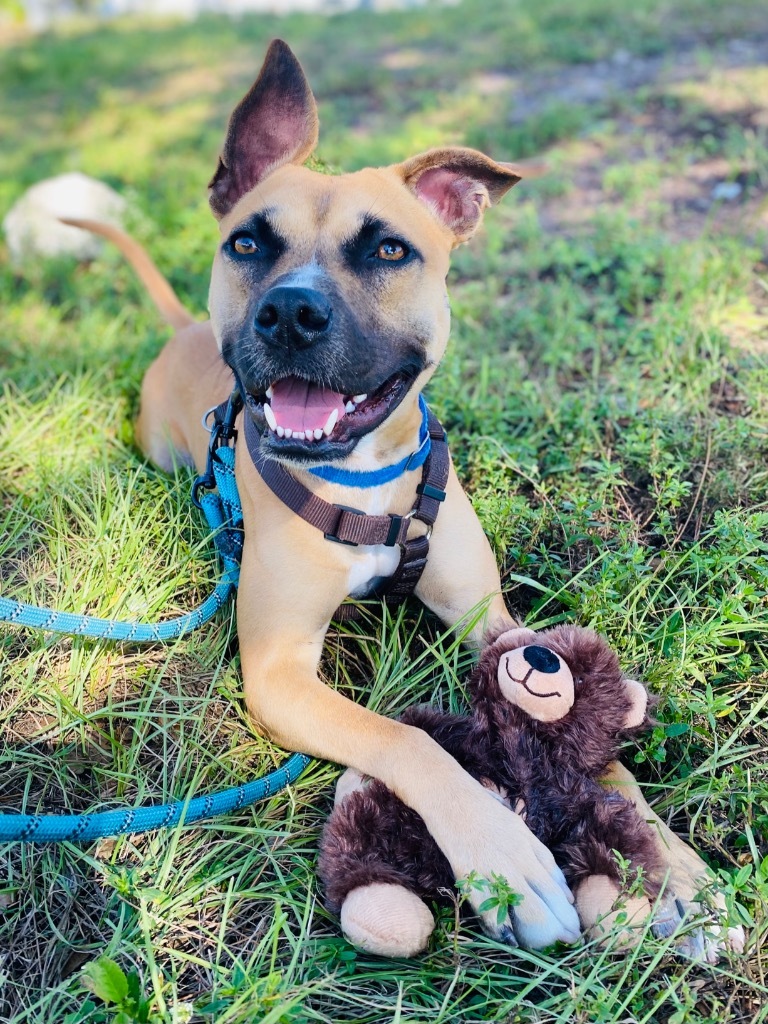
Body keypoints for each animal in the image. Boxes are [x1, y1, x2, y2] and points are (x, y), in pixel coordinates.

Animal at [67, 39, 745, 958]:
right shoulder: (278, 673)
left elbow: (600, 746)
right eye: (247, 242)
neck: (366, 481)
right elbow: (408, 739)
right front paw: (508, 859)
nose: (290, 310)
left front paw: (679, 875)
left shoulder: (493, 623)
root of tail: (182, 330)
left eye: (388, 252)